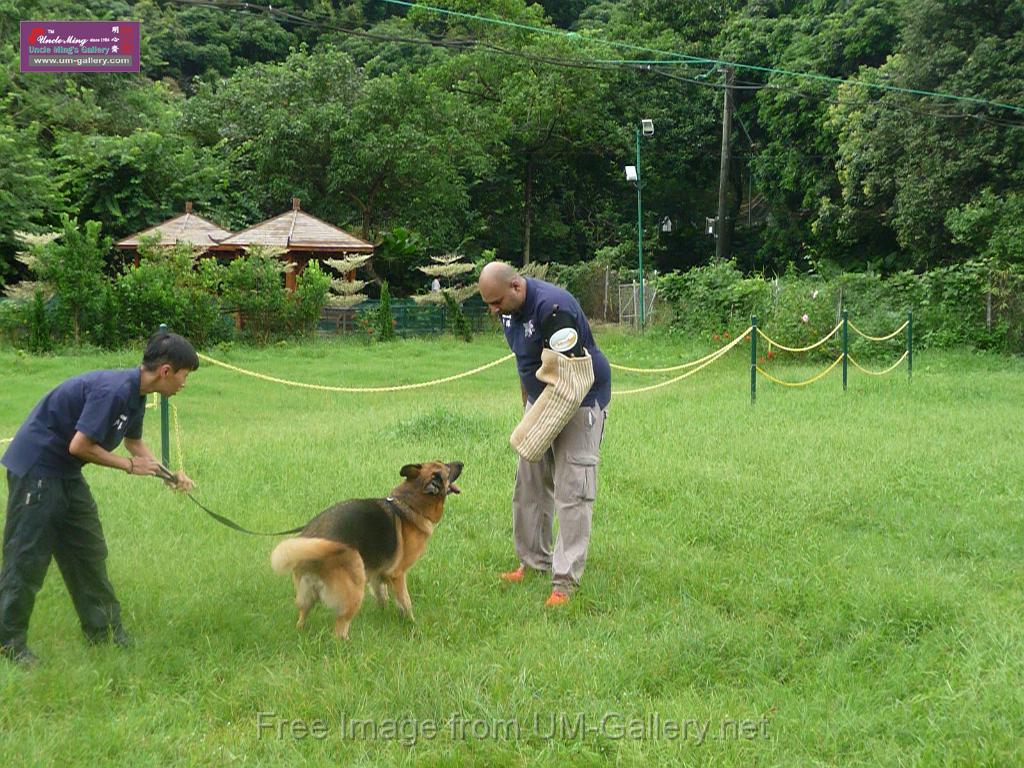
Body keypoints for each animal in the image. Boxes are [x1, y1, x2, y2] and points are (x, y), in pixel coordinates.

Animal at [272, 462, 464, 638]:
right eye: (447, 468)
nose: (461, 463)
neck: (410, 504)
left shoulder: (378, 574)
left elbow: (382, 596)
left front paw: (383, 614)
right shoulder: (398, 574)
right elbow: (405, 602)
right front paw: (412, 623)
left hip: (307, 594)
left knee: (302, 616)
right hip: (354, 584)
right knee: (339, 630)